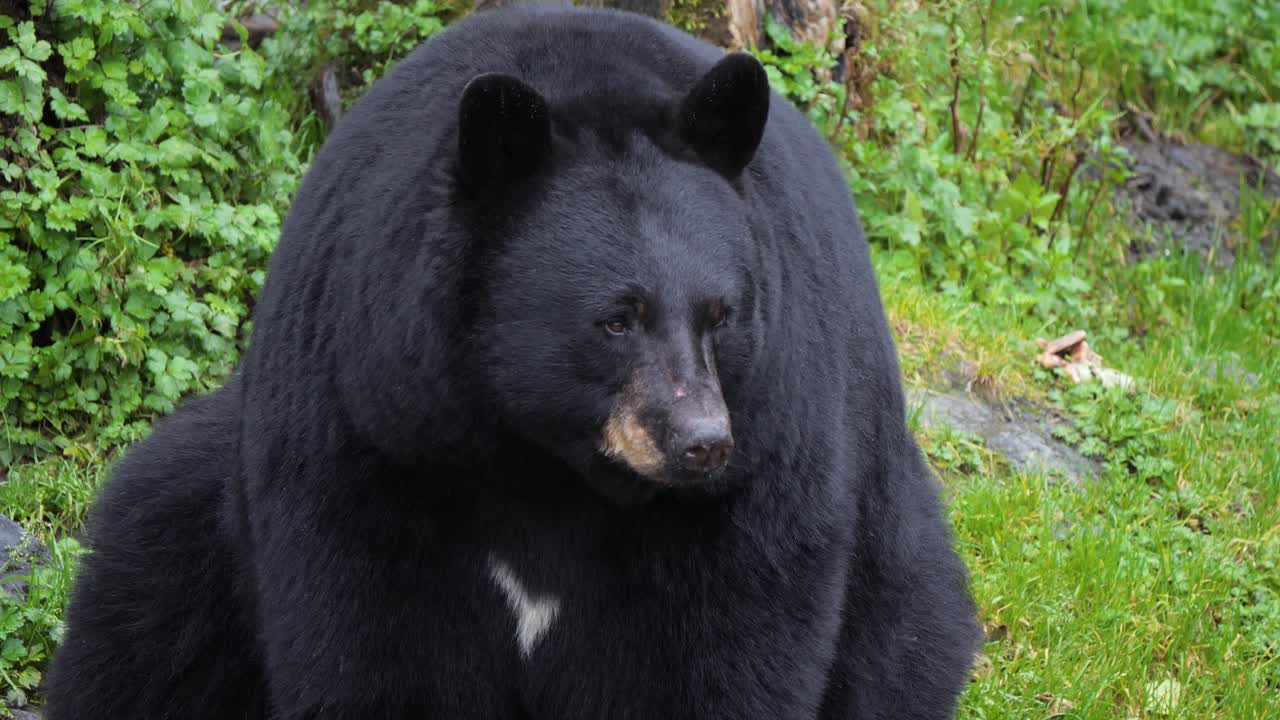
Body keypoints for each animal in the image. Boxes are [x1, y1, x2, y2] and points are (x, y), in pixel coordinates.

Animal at [44, 4, 981, 719]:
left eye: (722, 314)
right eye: (615, 319)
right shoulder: (362, 416)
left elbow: (724, 641)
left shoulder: (773, 441)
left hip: (894, 553)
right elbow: (367, 634)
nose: (702, 444)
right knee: (144, 596)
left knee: (906, 641)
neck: (541, 458)